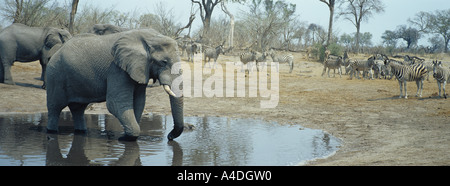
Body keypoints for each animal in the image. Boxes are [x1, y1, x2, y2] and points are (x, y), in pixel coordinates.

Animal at [45, 28, 185, 141]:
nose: (169, 137)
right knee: (55, 107)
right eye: (163, 62)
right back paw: (51, 132)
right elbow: (115, 103)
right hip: (55, 75)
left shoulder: (139, 68)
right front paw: (125, 138)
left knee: (78, 109)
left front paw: (126, 136)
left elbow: (139, 101)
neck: (150, 38)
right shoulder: (116, 68)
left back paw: (81, 132)